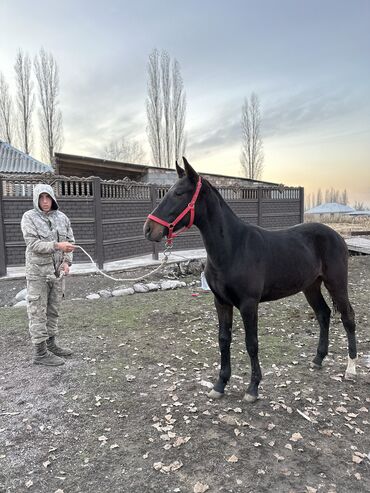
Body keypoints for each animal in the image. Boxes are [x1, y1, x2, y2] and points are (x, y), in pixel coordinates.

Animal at [143, 160, 356, 402]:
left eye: (178, 193)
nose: (148, 229)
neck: (233, 247)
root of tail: (337, 235)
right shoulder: (221, 302)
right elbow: (223, 340)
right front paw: (220, 384)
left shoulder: (248, 304)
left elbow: (251, 344)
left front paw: (253, 388)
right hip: (311, 286)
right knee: (323, 314)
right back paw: (318, 359)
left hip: (336, 283)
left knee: (348, 317)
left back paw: (351, 368)